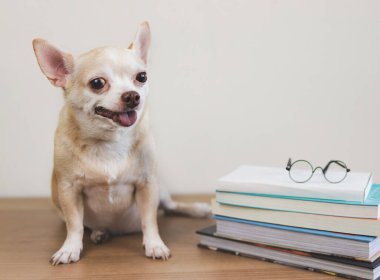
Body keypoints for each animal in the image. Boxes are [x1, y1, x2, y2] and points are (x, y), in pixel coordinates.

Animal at [31, 21, 211, 264]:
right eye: (97, 83)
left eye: (141, 77)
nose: (132, 95)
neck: (109, 141)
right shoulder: (69, 190)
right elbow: (75, 225)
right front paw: (69, 249)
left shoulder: (147, 184)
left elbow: (150, 220)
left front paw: (155, 245)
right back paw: (100, 232)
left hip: (161, 188)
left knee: (170, 206)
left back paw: (199, 209)